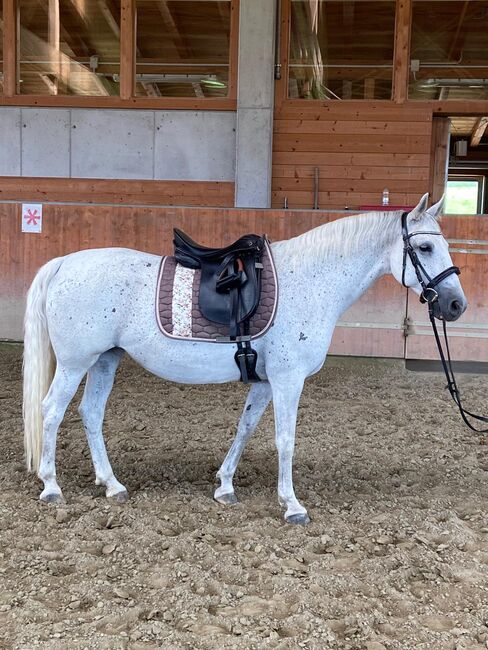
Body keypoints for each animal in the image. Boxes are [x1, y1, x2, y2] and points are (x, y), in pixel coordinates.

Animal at [21, 192, 466, 520]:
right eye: (425, 246)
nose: (456, 305)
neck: (310, 281)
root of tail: (64, 263)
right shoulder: (287, 379)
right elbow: (285, 439)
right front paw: (292, 506)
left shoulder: (267, 381)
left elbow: (246, 428)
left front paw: (225, 486)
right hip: (76, 363)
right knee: (52, 410)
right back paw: (51, 486)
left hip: (105, 359)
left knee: (91, 413)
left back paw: (112, 485)